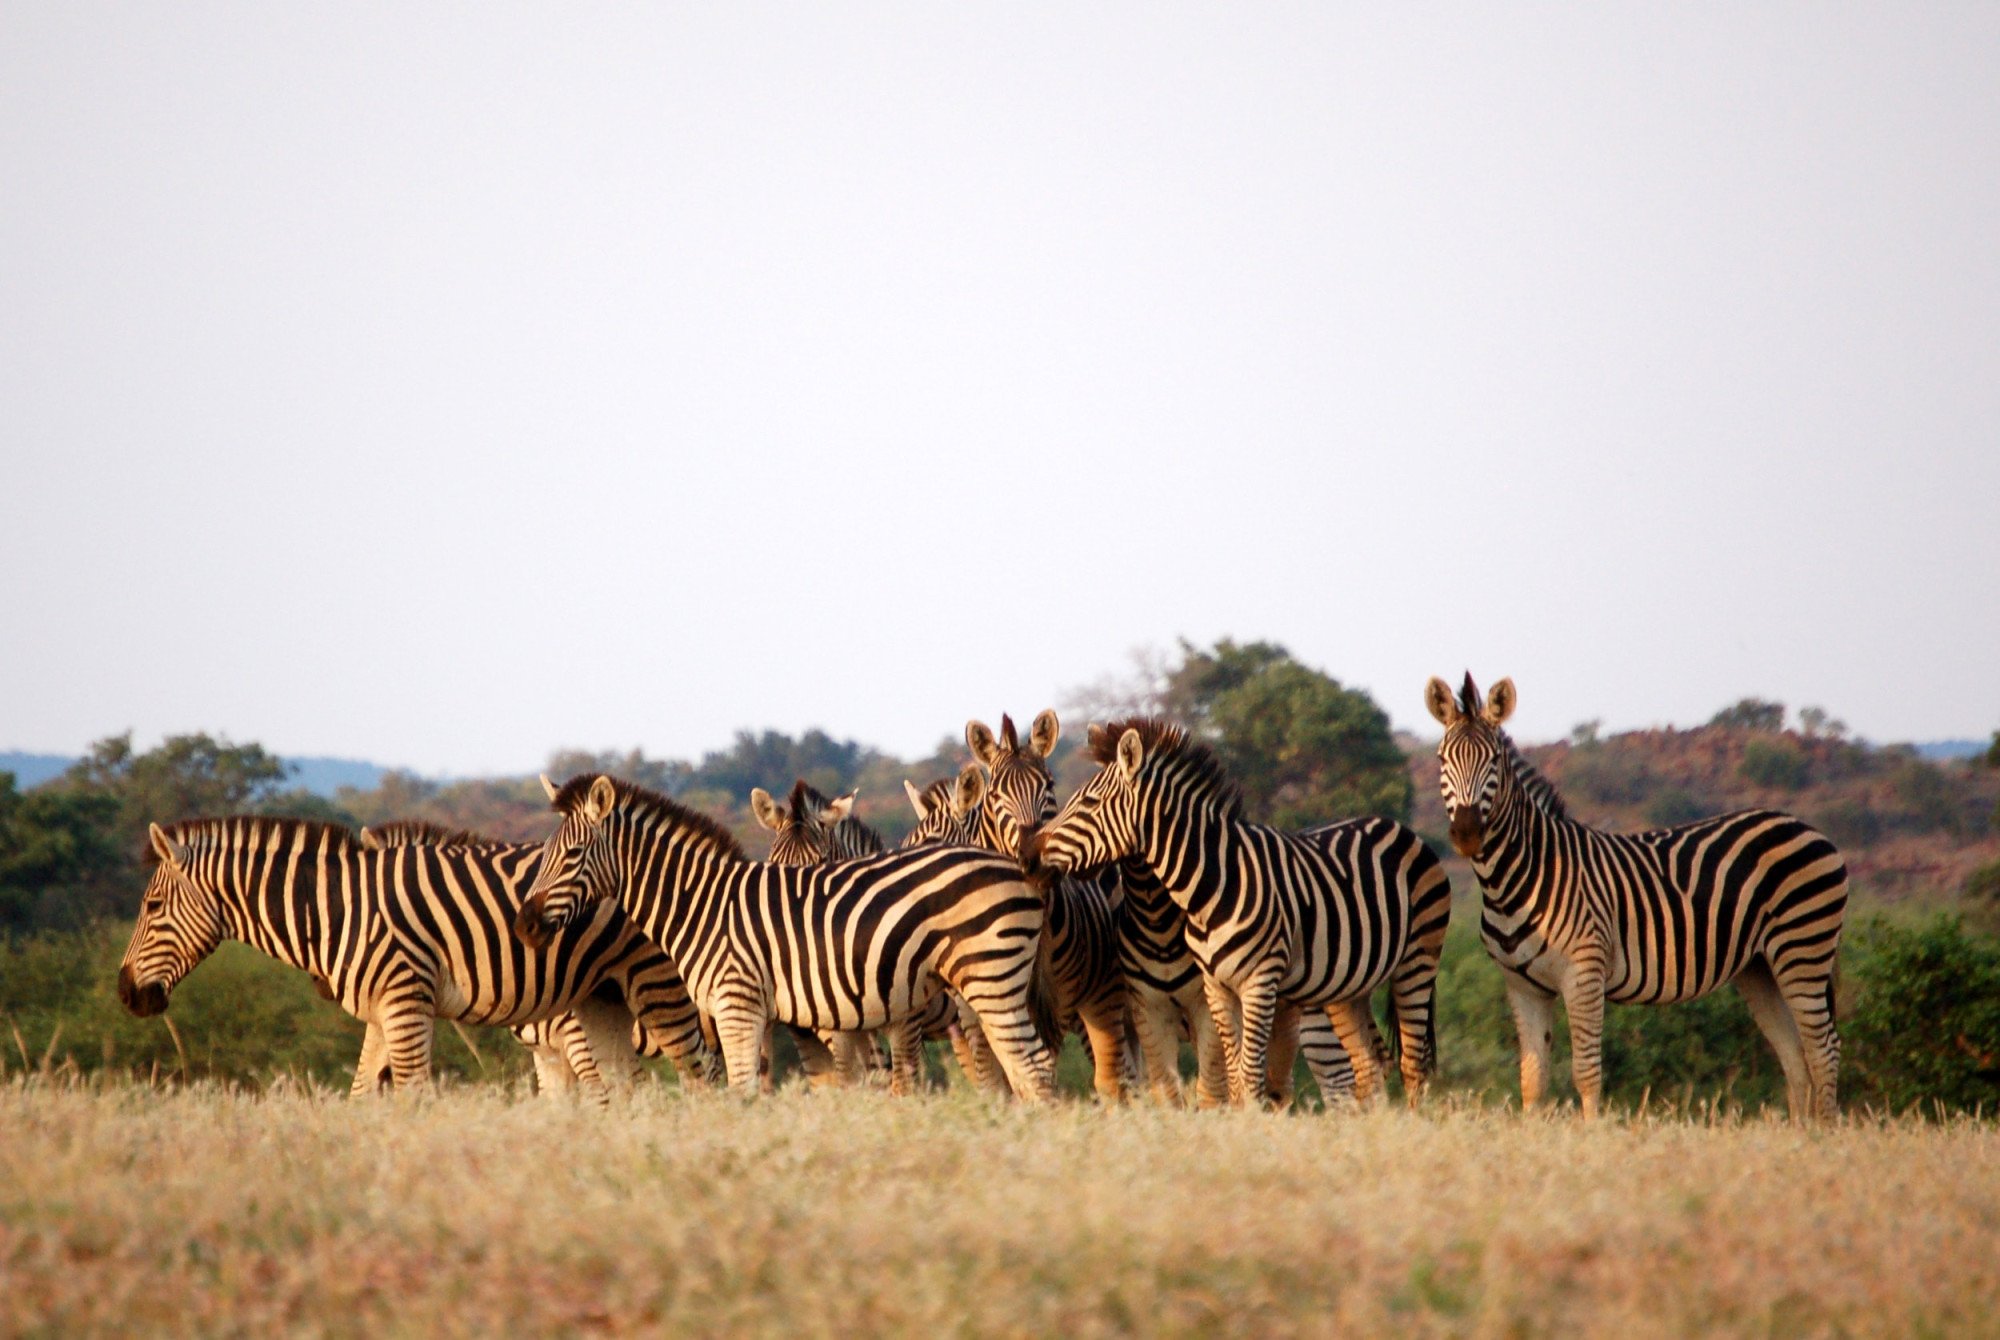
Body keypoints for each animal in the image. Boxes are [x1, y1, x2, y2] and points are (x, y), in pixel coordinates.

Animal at [513, 773, 1060, 1101]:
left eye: (572, 854)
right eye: (545, 853)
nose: (524, 926)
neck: (702, 903)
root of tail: (1014, 868)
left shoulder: (738, 1008)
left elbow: (744, 1094)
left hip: (987, 981)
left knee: (1031, 1066)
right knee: (1022, 1066)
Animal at [1025, 718, 1452, 1109]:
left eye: (1089, 803)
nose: (1030, 856)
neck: (1209, 888)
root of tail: (1397, 826)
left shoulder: (1258, 981)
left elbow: (1245, 1075)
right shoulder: (1212, 987)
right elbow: (1228, 1075)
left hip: (1417, 961)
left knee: (1411, 1063)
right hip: (1350, 986)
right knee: (1370, 1064)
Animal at [1425, 673, 1848, 1119]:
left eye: (1494, 763)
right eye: (1442, 760)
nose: (1467, 834)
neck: (1515, 881)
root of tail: (1805, 826)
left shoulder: (1584, 973)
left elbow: (1586, 1073)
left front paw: (1593, 1133)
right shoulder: (1523, 986)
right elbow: (1532, 1079)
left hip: (1802, 949)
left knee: (1823, 1049)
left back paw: (1821, 1132)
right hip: (1760, 967)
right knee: (1794, 1054)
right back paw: (1797, 1131)